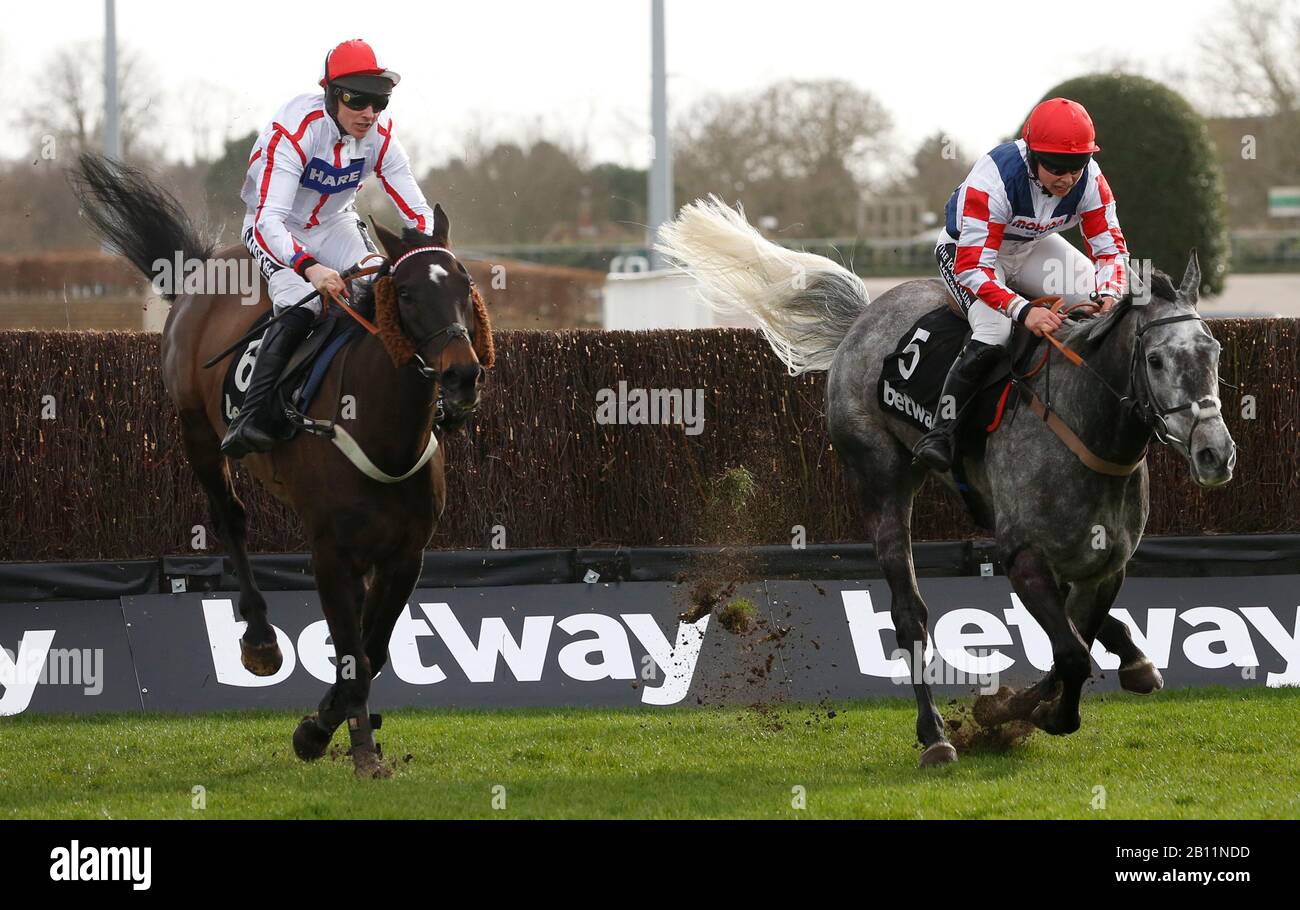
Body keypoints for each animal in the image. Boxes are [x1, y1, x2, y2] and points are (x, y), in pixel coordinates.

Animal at [73, 152, 493, 780]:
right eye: (408, 293)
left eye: (465, 284)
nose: (462, 376)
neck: (381, 431)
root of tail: (200, 269)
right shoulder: (329, 552)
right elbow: (353, 655)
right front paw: (337, 740)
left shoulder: (406, 554)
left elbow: (371, 650)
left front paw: (343, 730)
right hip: (198, 431)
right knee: (230, 518)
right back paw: (260, 640)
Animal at [660, 198, 1237, 769]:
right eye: (1156, 359)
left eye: (1213, 350)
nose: (1215, 454)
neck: (1085, 425)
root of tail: (864, 317)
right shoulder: (1023, 557)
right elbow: (1072, 654)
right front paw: (1029, 712)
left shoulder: (1106, 566)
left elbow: (1074, 641)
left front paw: (1026, 705)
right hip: (880, 479)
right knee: (909, 613)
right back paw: (935, 734)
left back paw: (1131, 660)